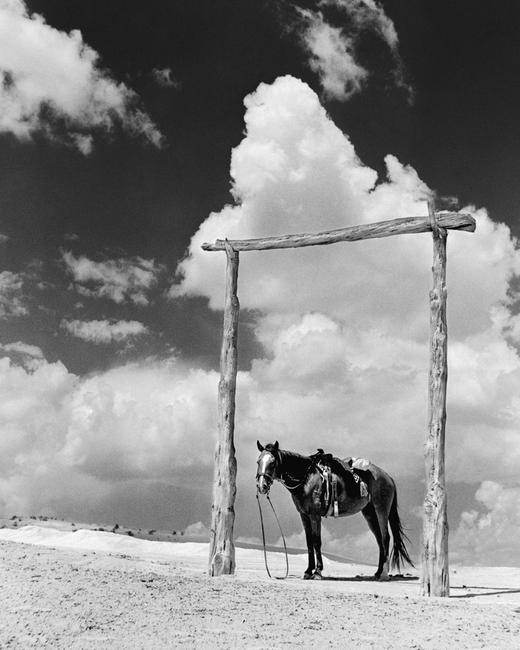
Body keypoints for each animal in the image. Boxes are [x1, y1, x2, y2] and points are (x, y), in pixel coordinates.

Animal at [254, 438, 412, 580]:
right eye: (258, 462)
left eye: (272, 463)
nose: (262, 486)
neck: (307, 479)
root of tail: (388, 477)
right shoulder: (304, 515)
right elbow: (309, 542)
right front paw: (308, 571)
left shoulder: (315, 515)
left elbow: (316, 541)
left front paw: (317, 572)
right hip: (369, 513)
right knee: (379, 540)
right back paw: (378, 572)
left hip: (381, 511)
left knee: (385, 538)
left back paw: (384, 574)